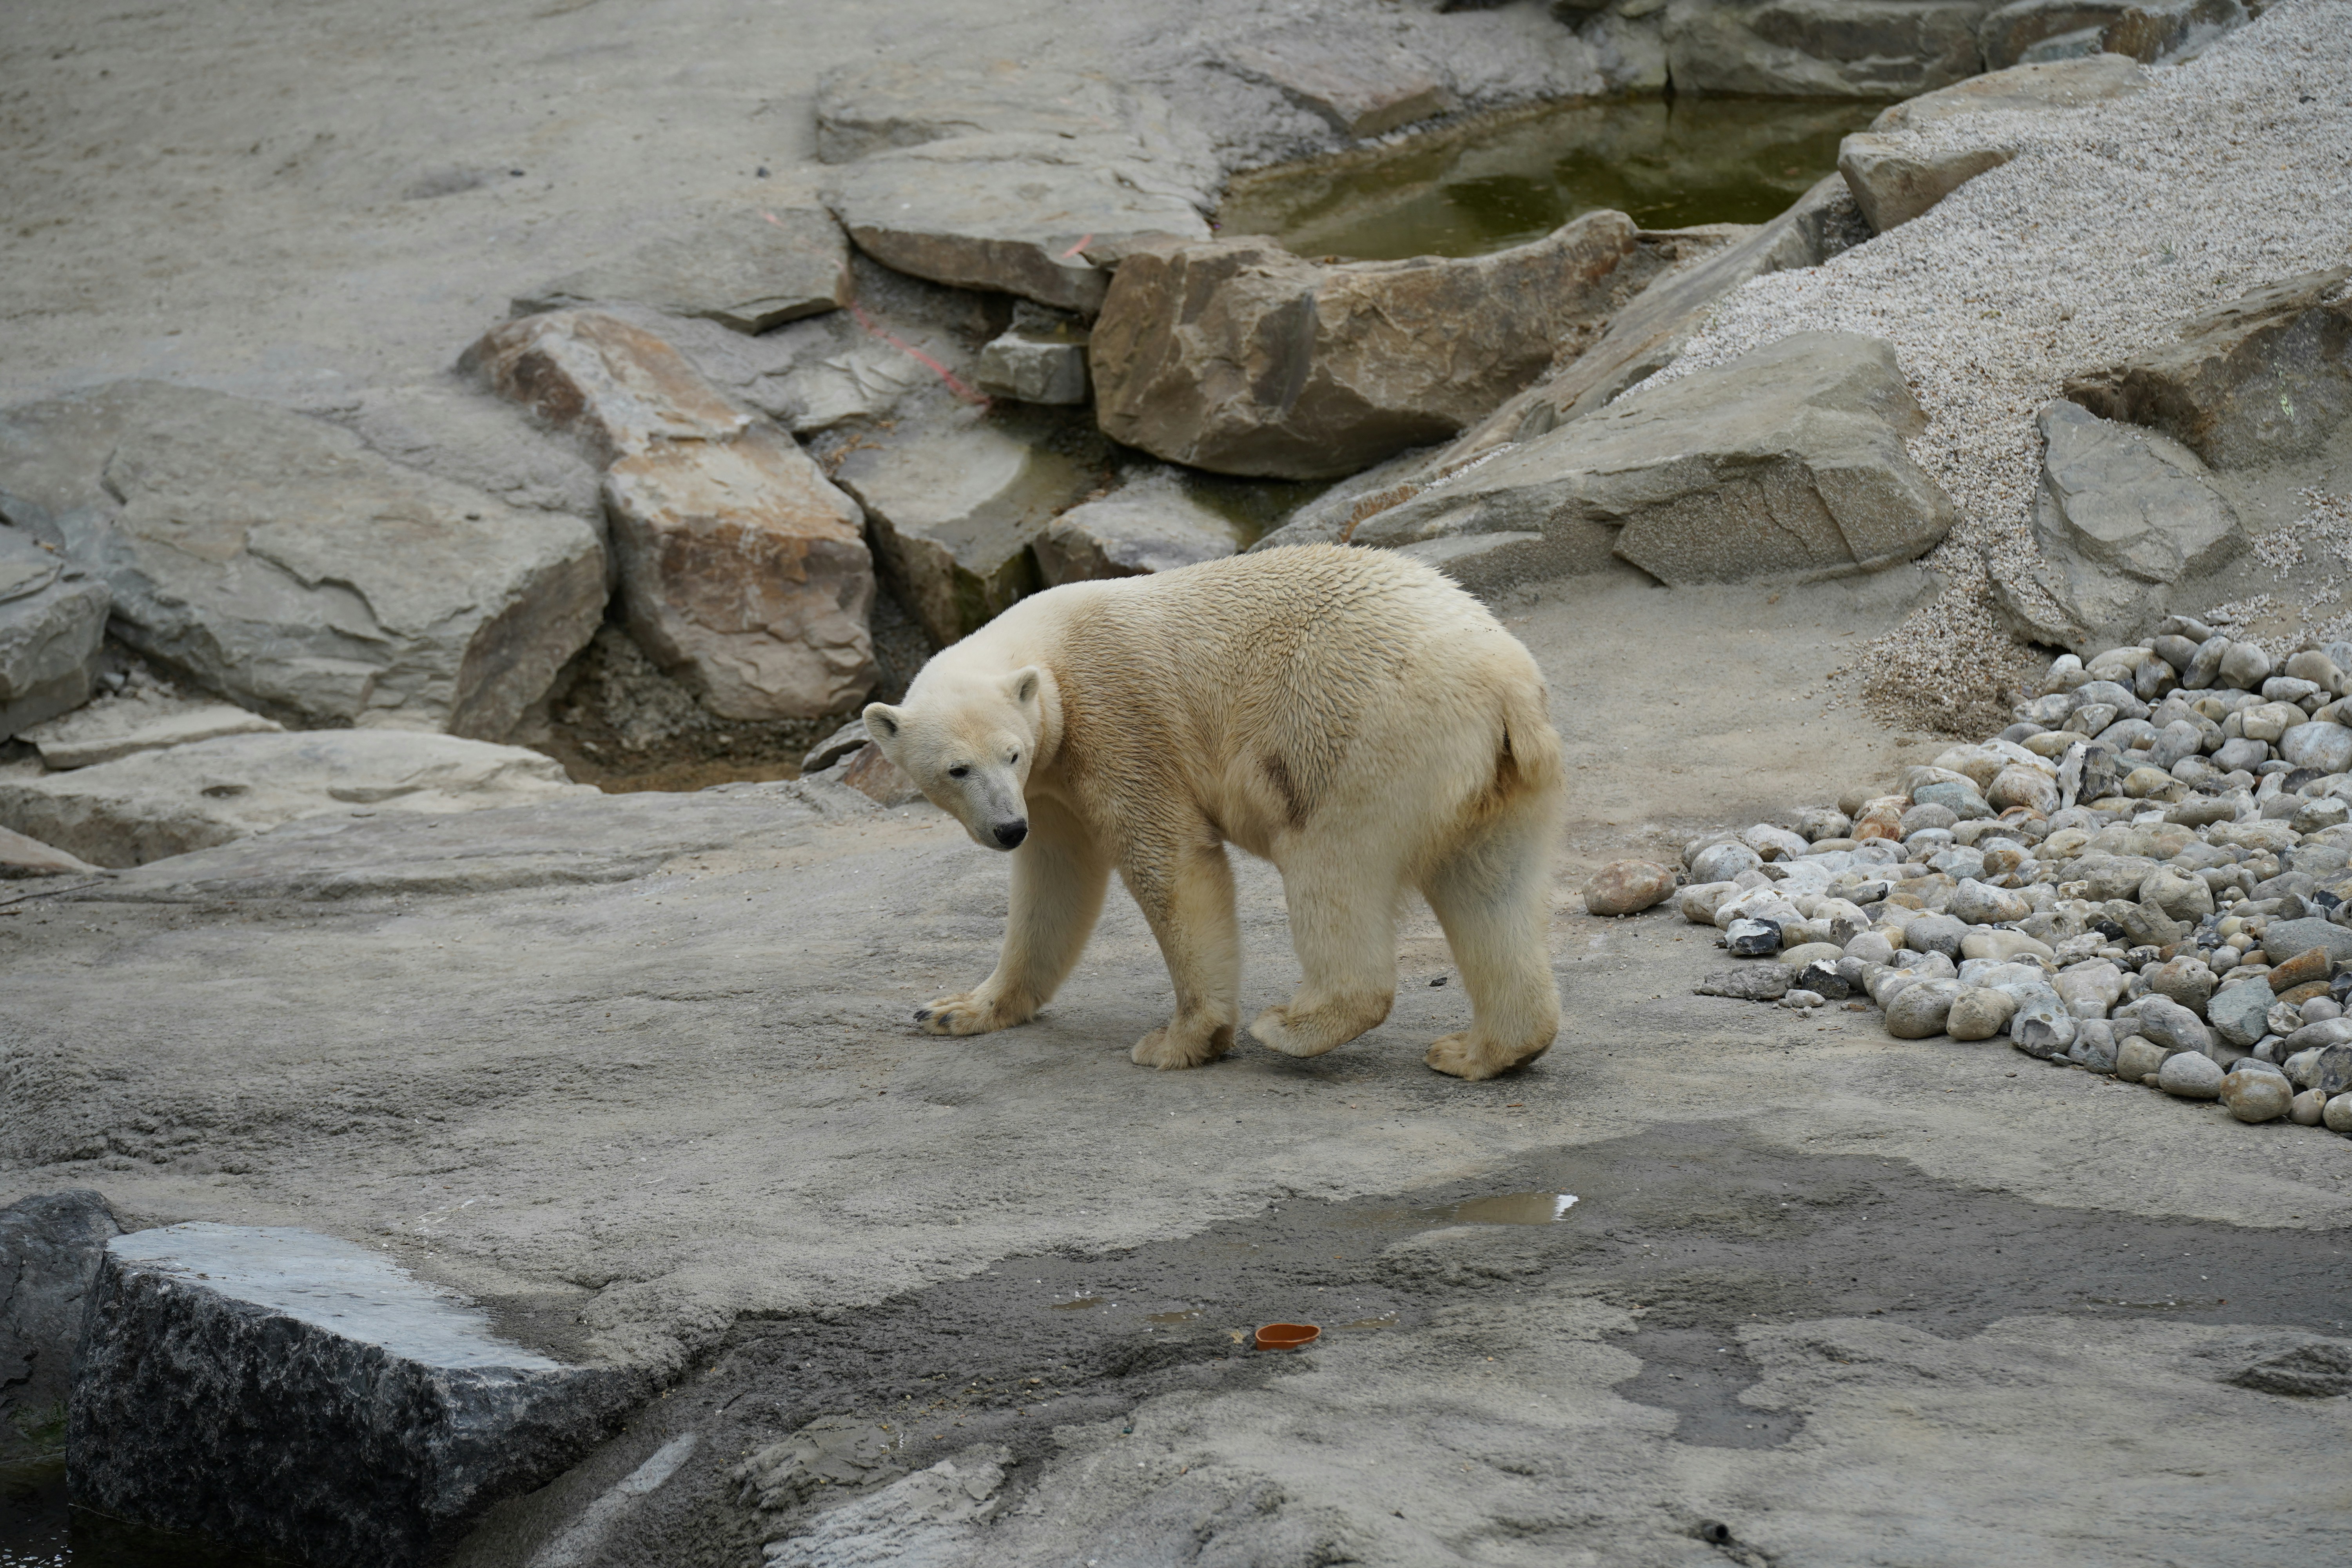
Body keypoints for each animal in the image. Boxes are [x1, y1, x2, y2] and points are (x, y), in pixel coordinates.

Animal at [861, 544, 1565, 1080]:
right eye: (957, 770)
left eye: (1009, 753)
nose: (1006, 829)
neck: (1052, 648)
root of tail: (1504, 683)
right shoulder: (1047, 789)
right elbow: (1055, 880)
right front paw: (954, 1009)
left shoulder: (1120, 725)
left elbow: (1168, 859)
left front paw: (1178, 1041)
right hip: (1501, 780)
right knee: (1489, 889)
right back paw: (1480, 1051)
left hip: (1358, 738)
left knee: (1332, 866)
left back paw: (1290, 1025)